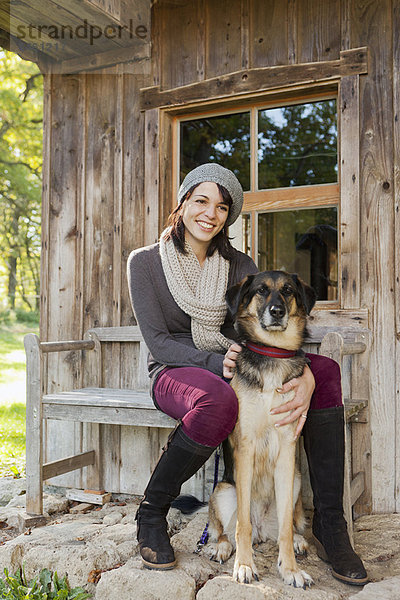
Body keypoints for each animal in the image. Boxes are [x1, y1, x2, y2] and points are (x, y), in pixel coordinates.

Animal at [208, 270, 318, 588]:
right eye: (261, 290)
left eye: (288, 290)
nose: (277, 311)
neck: (273, 352)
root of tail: (261, 530)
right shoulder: (246, 448)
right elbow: (241, 524)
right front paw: (244, 566)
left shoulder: (286, 451)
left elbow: (285, 529)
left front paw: (290, 569)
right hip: (223, 490)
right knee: (225, 529)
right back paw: (222, 547)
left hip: (295, 480)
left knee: (289, 523)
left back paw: (299, 542)